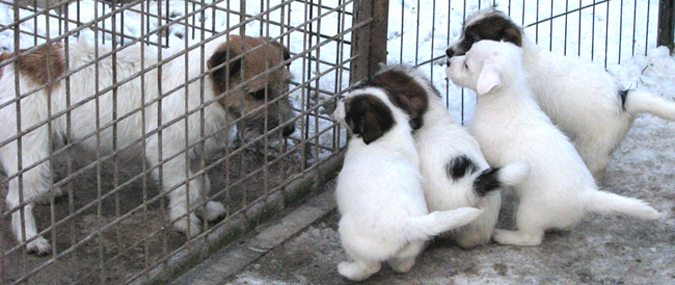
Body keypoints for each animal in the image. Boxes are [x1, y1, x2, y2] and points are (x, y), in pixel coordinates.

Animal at [0, 34, 296, 254]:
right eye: (258, 94)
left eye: (287, 85)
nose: (290, 129)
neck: (203, 86)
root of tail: (9, 63)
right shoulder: (169, 151)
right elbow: (185, 187)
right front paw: (185, 222)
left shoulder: (194, 152)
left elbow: (201, 182)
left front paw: (206, 209)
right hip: (31, 151)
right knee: (16, 198)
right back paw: (31, 239)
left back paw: (46, 193)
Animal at [334, 85, 484, 280]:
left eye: (347, 107)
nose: (337, 101)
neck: (389, 129)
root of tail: (406, 225)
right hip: (410, 249)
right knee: (404, 265)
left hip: (349, 234)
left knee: (369, 267)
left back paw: (346, 270)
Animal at [446, 8, 675, 178]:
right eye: (462, 32)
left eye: (471, 40)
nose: (447, 52)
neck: (523, 57)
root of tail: (623, 98)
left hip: (594, 145)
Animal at [446, 38, 664, 245]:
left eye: (467, 64)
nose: (447, 62)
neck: (506, 99)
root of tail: (586, 195)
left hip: (529, 212)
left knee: (532, 238)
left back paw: (504, 236)